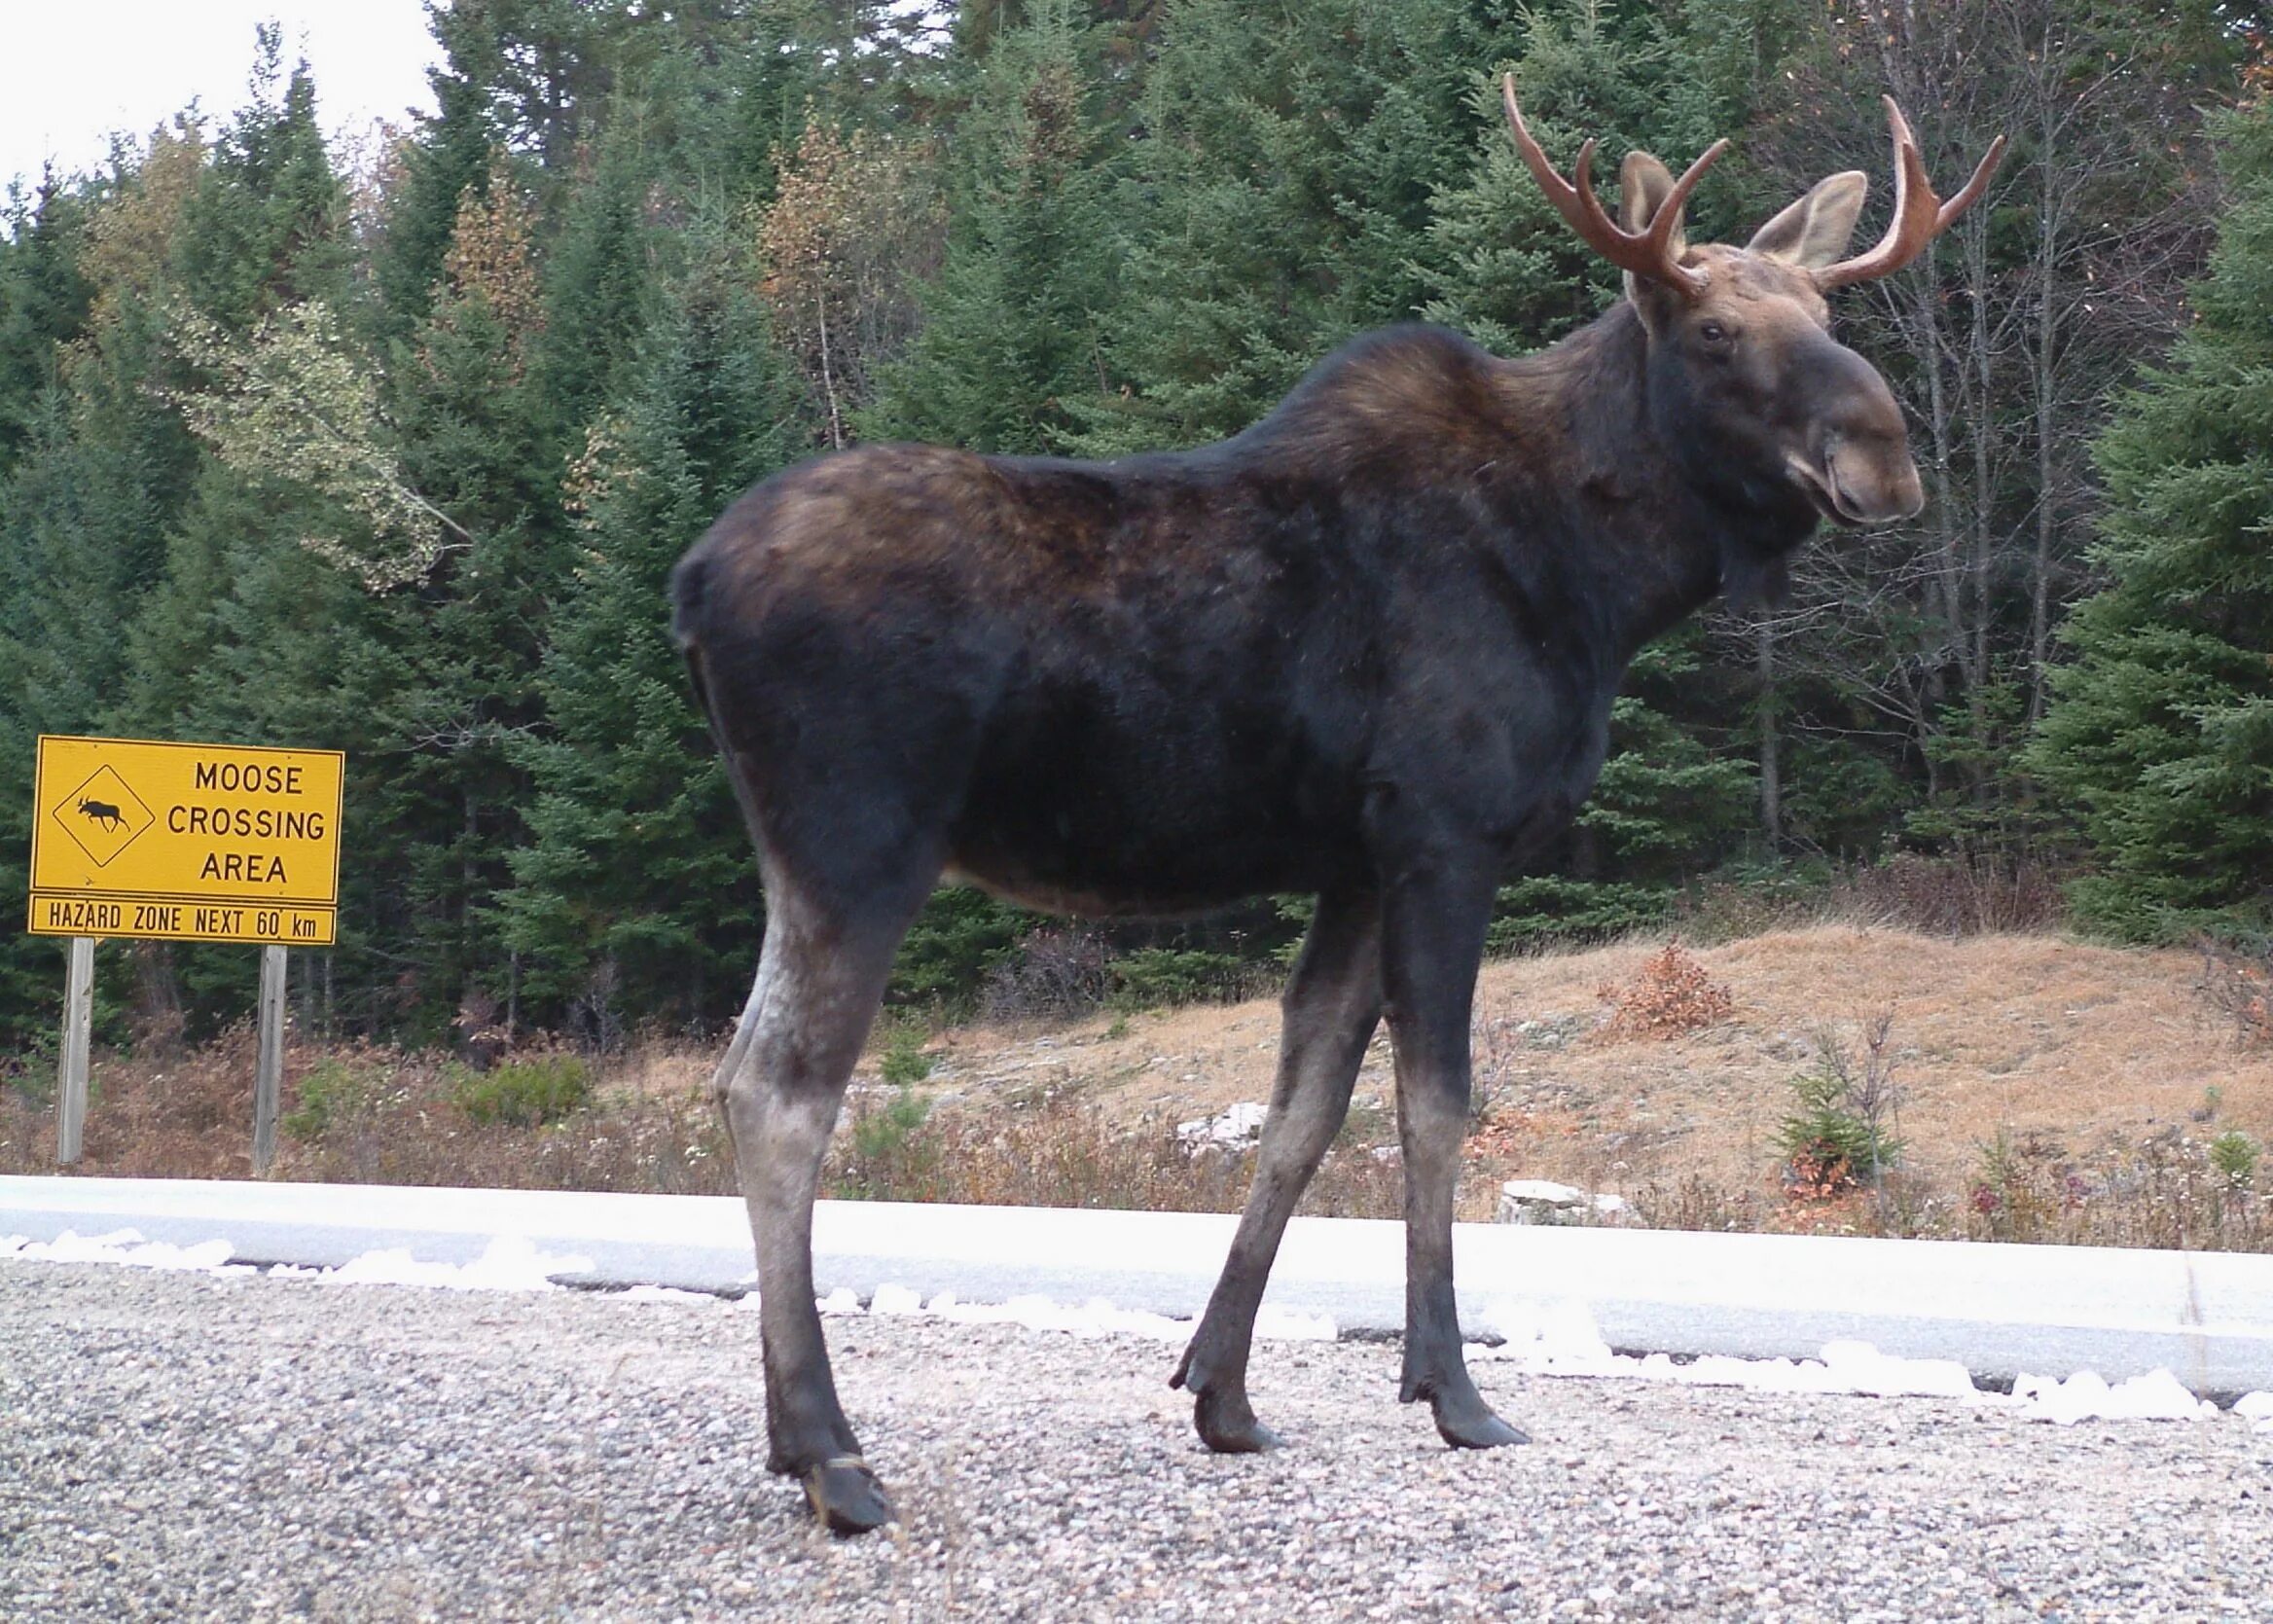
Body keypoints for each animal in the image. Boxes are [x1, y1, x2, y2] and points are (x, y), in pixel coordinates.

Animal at [664, 82, 2000, 1528]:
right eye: (1712, 332)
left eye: (1828, 318)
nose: (1886, 456)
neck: (1602, 581)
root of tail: (691, 581)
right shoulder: (1446, 833)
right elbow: (1437, 1105)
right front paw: (1453, 1391)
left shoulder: (1355, 857)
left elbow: (1304, 1111)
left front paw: (1223, 1392)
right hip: (860, 840)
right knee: (781, 1094)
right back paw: (833, 1456)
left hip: (806, 857)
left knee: (744, 1073)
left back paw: (799, 1441)